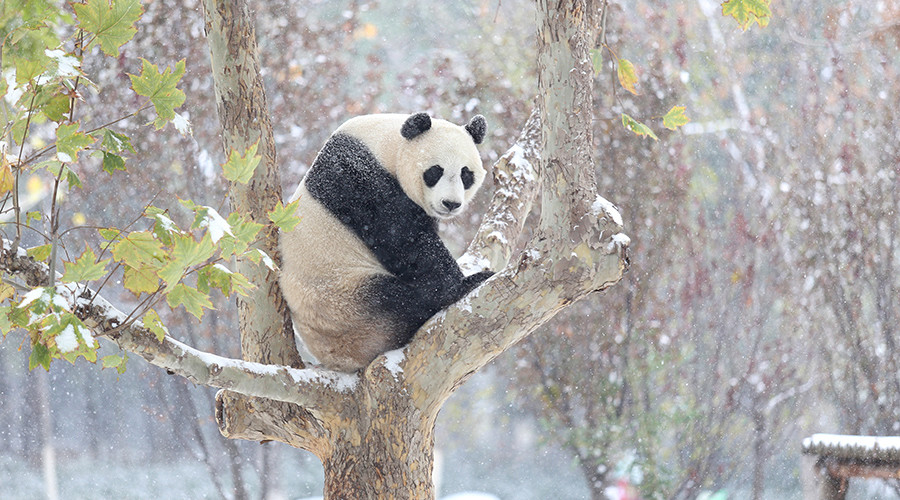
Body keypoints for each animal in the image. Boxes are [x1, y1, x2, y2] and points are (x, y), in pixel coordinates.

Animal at [279, 112, 494, 372]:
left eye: (466, 174)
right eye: (435, 171)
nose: (450, 204)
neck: (384, 145)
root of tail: (340, 360)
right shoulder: (360, 180)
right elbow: (406, 242)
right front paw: (461, 283)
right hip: (342, 302)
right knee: (398, 301)